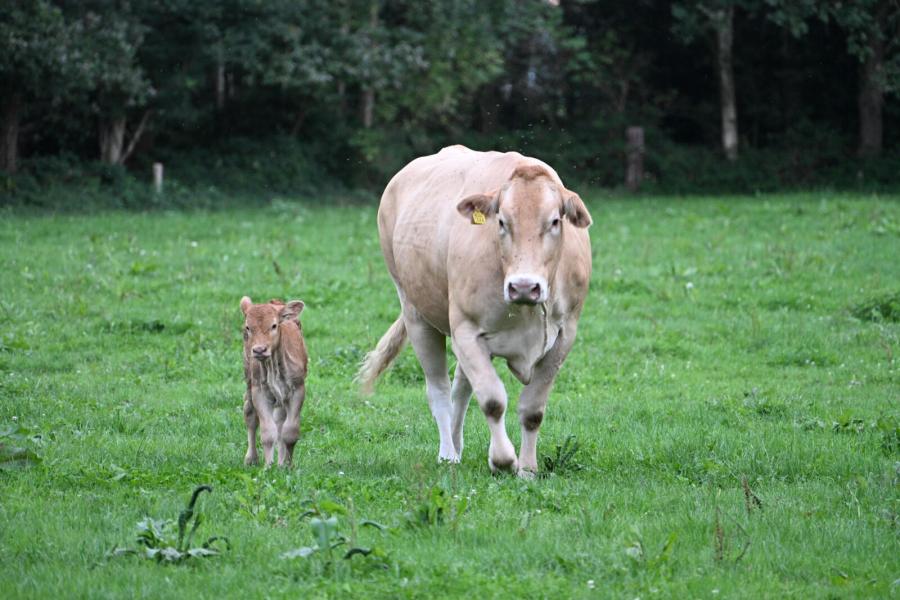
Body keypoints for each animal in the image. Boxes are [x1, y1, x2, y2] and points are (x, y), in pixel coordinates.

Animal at [240, 296, 308, 467]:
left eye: (274, 325)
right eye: (248, 327)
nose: (259, 350)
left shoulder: (298, 389)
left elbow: (289, 431)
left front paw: (286, 465)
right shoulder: (259, 392)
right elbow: (267, 432)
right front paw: (268, 466)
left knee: (280, 421)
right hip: (249, 380)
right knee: (249, 413)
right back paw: (251, 458)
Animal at [357, 145, 592, 476]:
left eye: (555, 221)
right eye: (502, 221)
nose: (523, 287)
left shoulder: (564, 336)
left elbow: (532, 410)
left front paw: (528, 469)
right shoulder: (466, 330)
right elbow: (492, 400)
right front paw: (503, 460)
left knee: (460, 390)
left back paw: (457, 444)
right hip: (416, 314)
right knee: (440, 390)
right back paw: (448, 454)